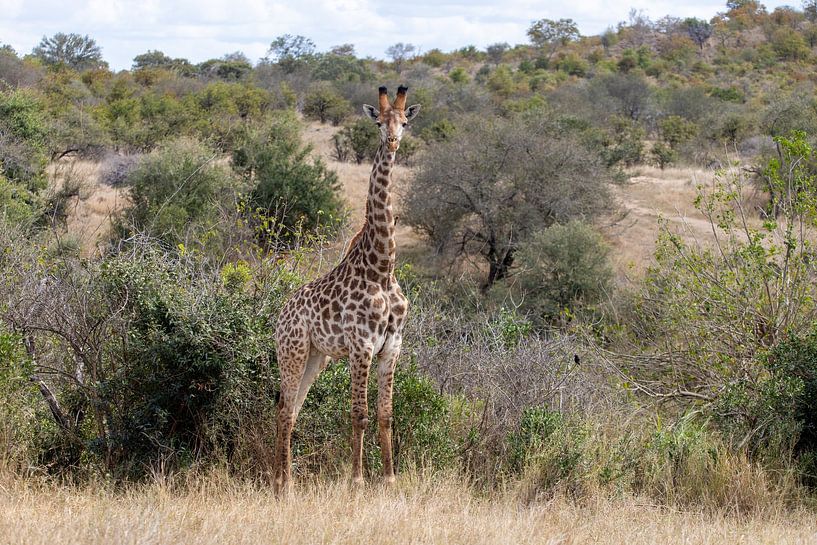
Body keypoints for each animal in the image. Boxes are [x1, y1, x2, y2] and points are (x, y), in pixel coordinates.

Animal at [272, 85, 420, 493]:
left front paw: (389, 478)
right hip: (292, 351)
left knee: (290, 407)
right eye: (378, 122)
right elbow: (359, 413)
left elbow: (386, 414)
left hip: (316, 358)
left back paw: (280, 480)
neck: (382, 268)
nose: (393, 141)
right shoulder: (361, 345)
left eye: (404, 123)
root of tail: (279, 315)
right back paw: (286, 485)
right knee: (286, 410)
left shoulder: (392, 346)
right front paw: (356, 480)